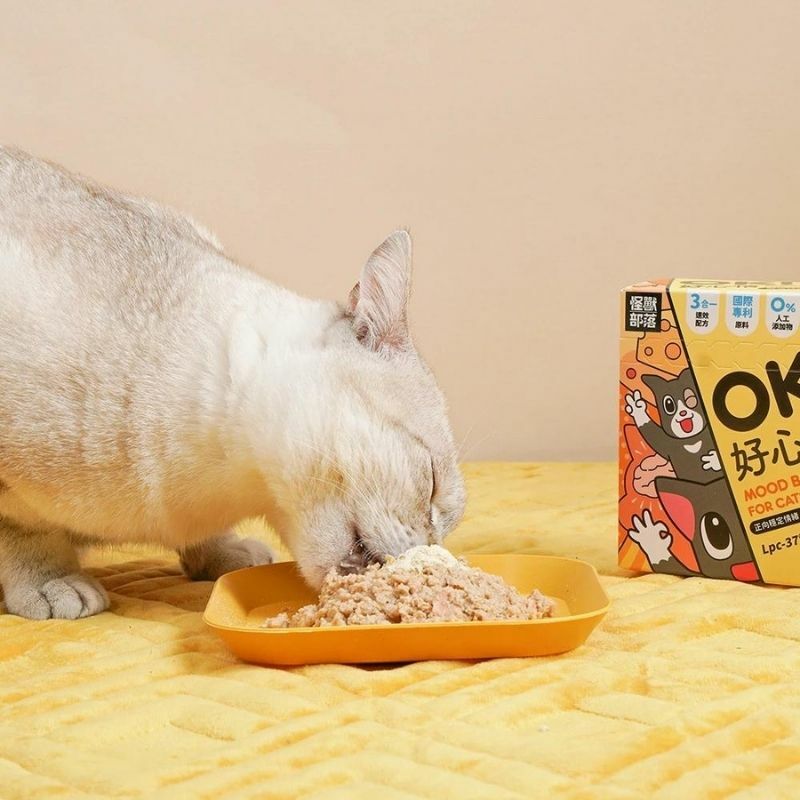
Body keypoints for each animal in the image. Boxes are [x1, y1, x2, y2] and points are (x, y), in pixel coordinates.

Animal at [0, 146, 466, 619]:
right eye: (430, 483)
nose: (426, 550)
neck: (218, 485)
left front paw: (220, 556)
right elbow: (25, 529)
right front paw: (50, 580)